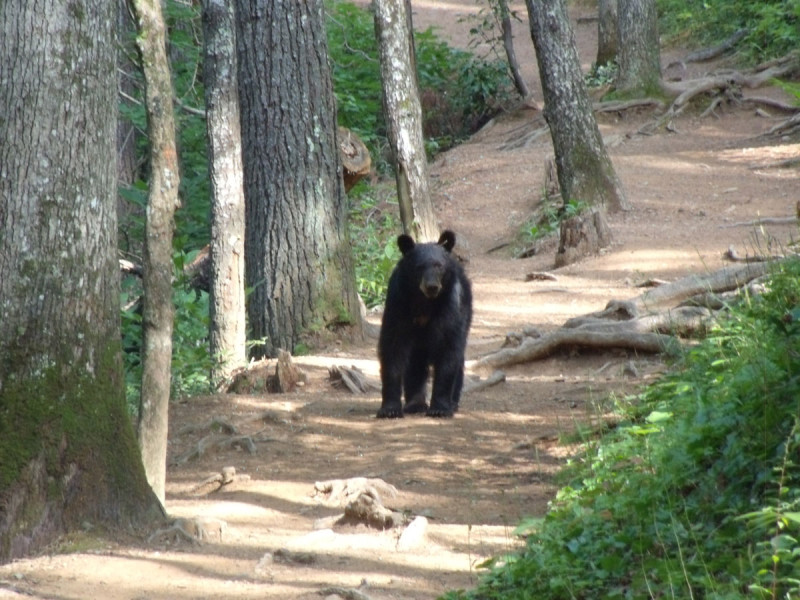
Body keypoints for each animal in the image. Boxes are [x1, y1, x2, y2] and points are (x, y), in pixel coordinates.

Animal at [378, 230, 472, 418]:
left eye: (439, 266)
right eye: (419, 266)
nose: (432, 286)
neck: (424, 303)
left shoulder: (450, 305)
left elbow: (448, 349)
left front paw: (440, 408)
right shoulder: (398, 303)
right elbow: (392, 348)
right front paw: (389, 409)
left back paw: (452, 402)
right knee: (416, 363)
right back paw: (415, 404)